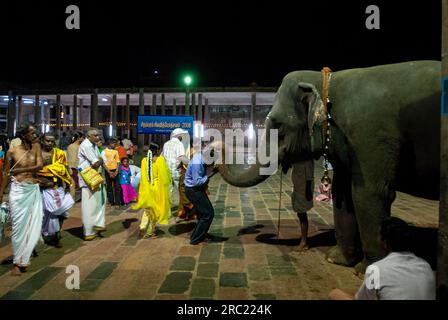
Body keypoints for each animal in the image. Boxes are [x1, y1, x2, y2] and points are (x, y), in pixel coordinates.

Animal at [220, 60, 440, 272]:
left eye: (278, 126)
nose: (220, 148)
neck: (325, 82)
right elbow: (342, 191)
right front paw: (335, 260)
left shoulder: (370, 135)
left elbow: (369, 193)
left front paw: (366, 270)